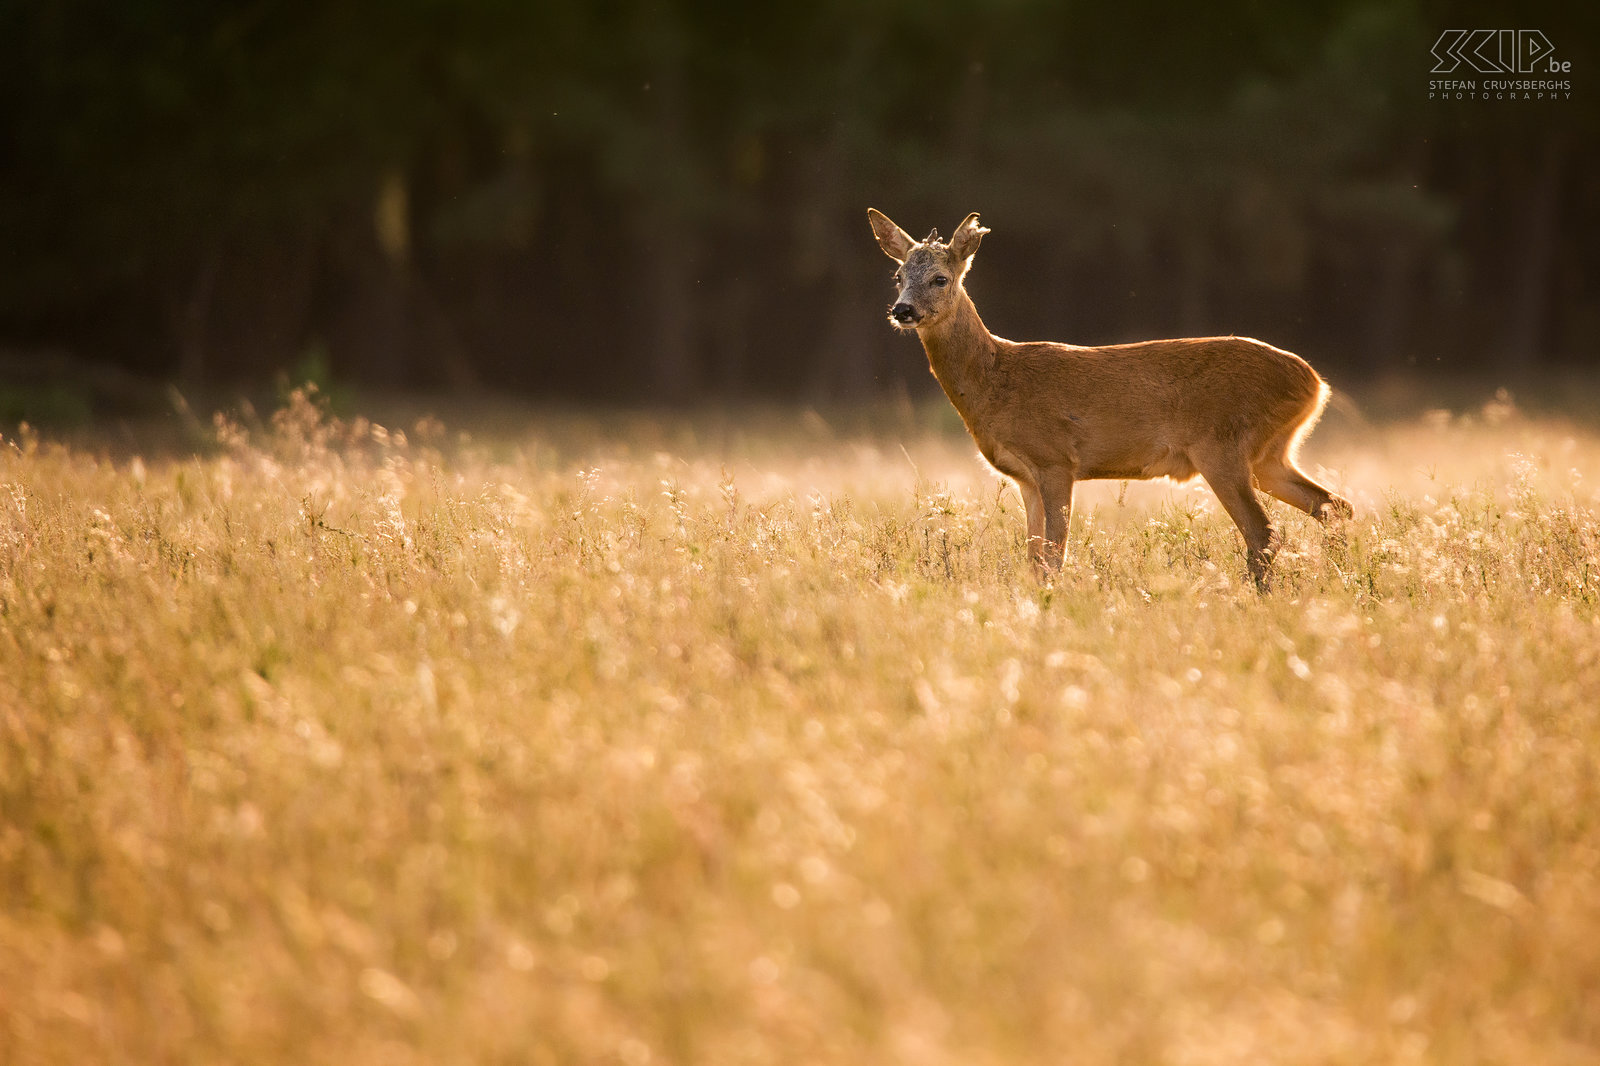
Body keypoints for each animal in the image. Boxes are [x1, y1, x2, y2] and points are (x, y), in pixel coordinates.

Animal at [876, 208, 1350, 585]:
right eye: (898, 277)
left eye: (940, 278)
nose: (902, 310)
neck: (995, 382)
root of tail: (1315, 383)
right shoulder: (1024, 478)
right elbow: (1033, 559)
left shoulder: (1056, 460)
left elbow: (1054, 556)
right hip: (1271, 454)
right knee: (1333, 505)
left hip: (1223, 447)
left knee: (1263, 533)